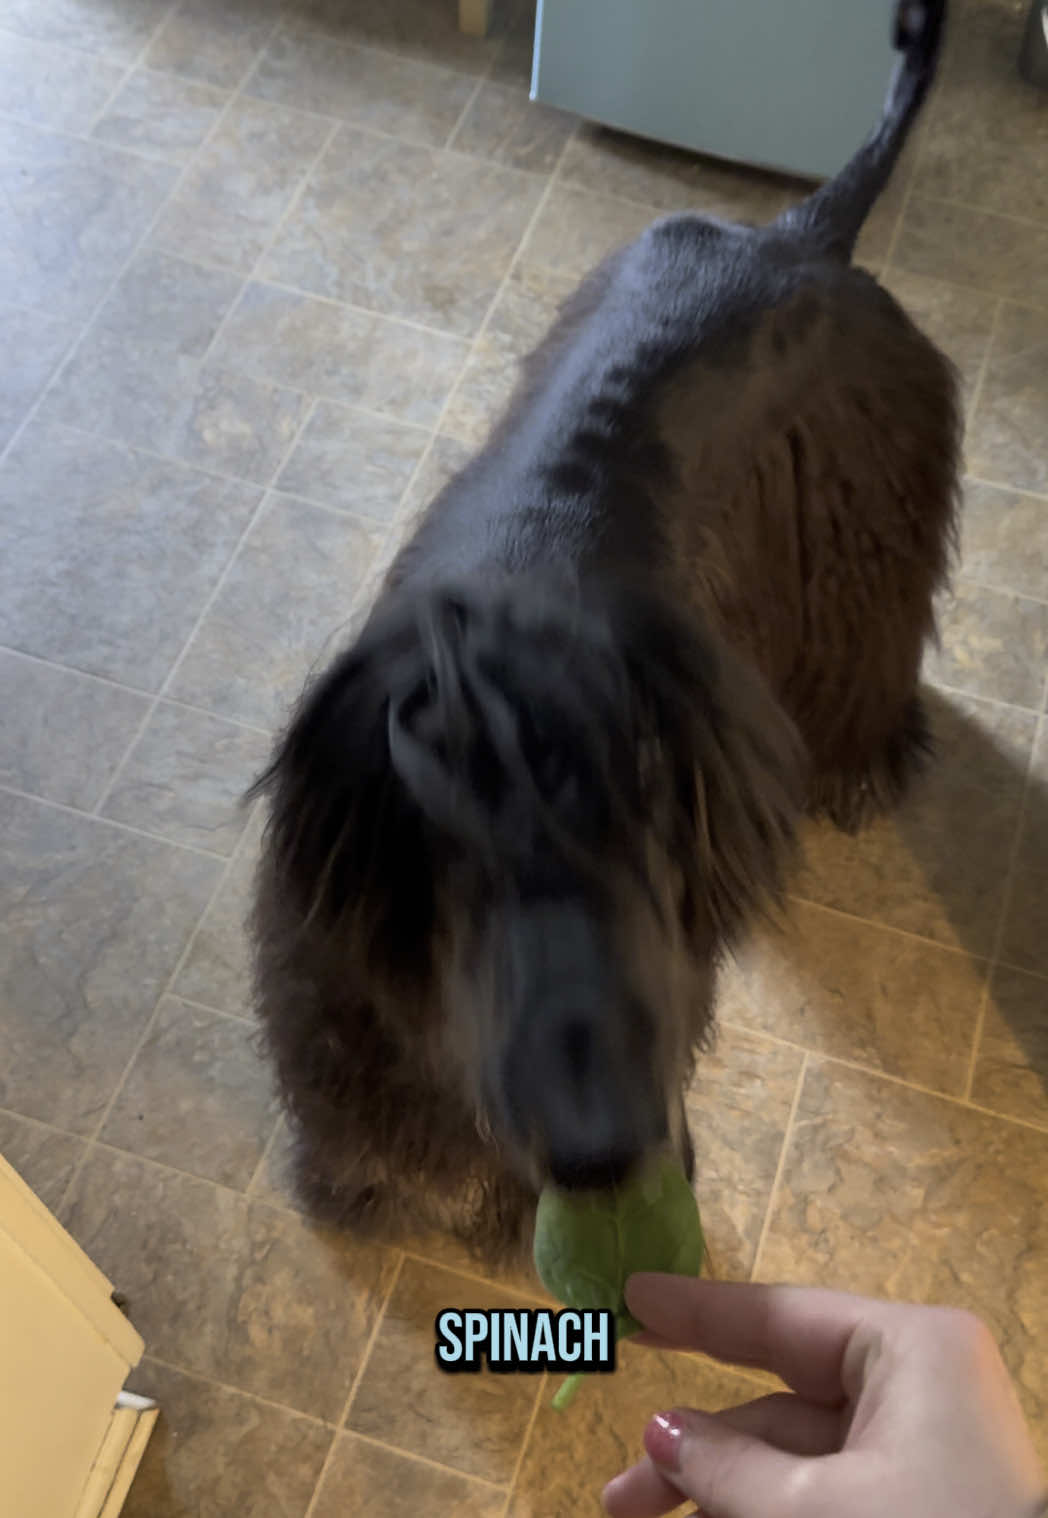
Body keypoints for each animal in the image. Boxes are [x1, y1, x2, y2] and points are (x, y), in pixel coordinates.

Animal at [244, 0, 953, 1262]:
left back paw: (863, 762)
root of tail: (803, 235)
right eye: (470, 853)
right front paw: (373, 1175)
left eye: (641, 833)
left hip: (863, 521)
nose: (612, 1154)